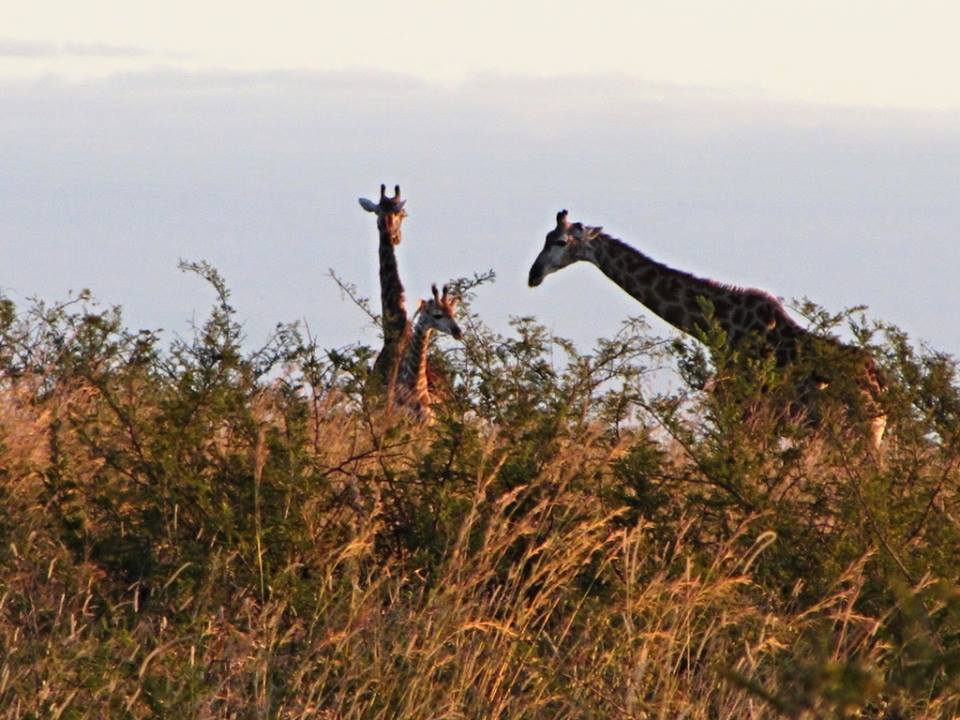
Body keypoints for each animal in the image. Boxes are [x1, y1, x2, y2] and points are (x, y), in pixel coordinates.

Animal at [528, 210, 887, 448]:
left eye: (560, 241)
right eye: (544, 239)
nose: (534, 275)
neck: (724, 325)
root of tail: (882, 387)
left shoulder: (745, 413)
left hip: (858, 433)